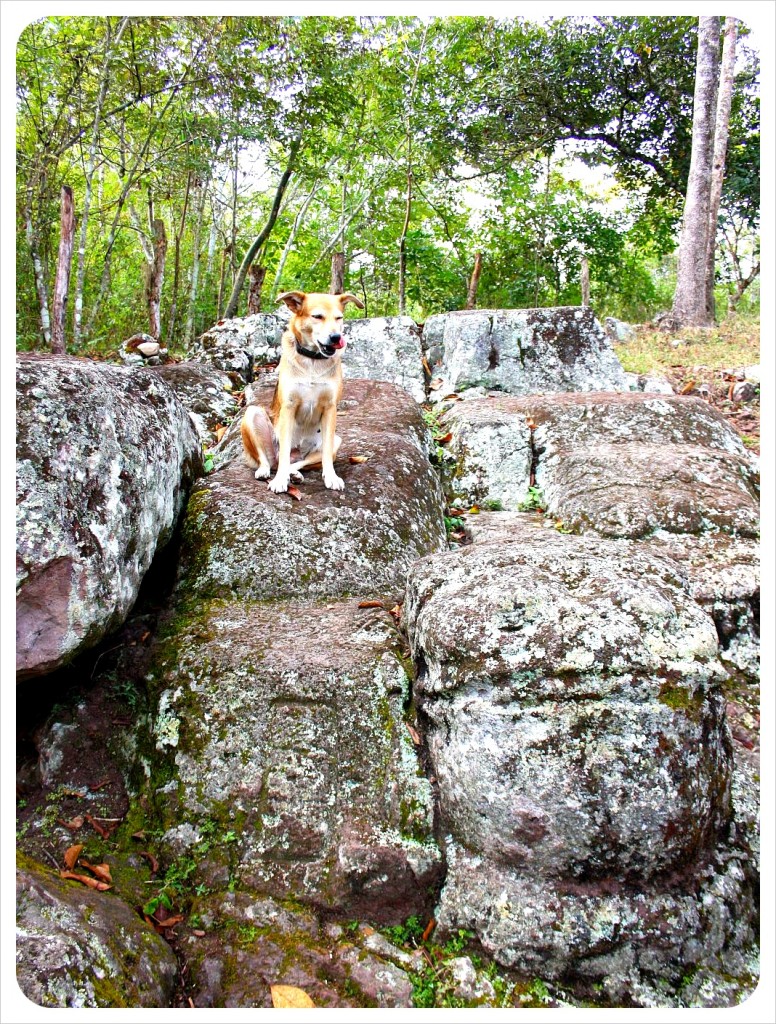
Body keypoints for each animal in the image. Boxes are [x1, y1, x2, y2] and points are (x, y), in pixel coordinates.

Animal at [240, 290, 364, 493]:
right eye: (317, 316)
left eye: (339, 318)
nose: (336, 337)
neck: (313, 361)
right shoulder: (289, 407)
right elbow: (282, 453)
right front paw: (280, 480)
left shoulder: (330, 408)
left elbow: (326, 455)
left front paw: (331, 477)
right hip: (253, 414)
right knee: (267, 460)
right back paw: (267, 471)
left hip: (336, 440)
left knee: (300, 462)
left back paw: (294, 474)